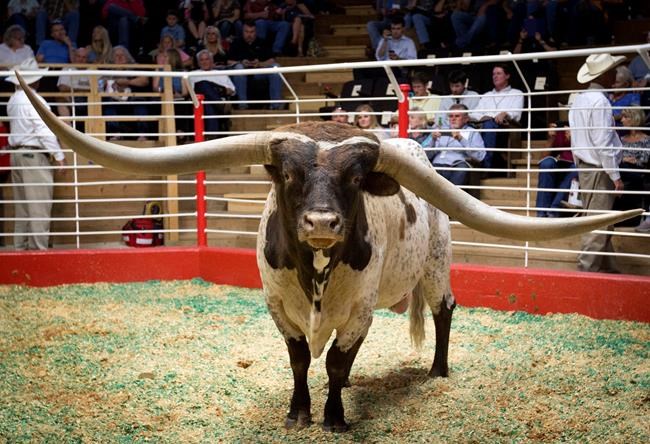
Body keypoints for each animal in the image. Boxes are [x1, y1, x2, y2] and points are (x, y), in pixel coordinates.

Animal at [17, 73, 642, 432]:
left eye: (356, 179)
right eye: (288, 175)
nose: (321, 222)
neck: (315, 276)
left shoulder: (358, 314)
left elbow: (338, 366)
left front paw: (335, 418)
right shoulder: (277, 307)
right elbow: (299, 362)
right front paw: (299, 414)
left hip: (437, 263)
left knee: (444, 310)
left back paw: (438, 370)